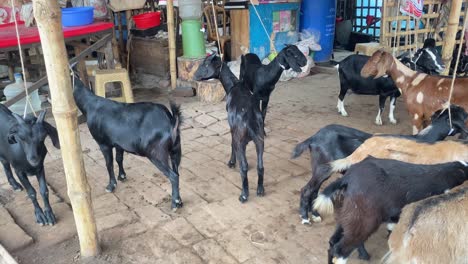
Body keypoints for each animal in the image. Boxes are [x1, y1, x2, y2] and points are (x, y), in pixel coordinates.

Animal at [72, 73, 184, 209]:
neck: (90, 105)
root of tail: (171, 120)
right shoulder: (119, 144)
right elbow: (119, 159)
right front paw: (122, 176)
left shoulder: (103, 143)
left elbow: (109, 163)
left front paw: (111, 185)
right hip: (176, 149)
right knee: (177, 171)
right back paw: (180, 201)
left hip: (157, 153)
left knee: (173, 176)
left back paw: (174, 203)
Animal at [194, 53, 266, 202]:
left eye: (205, 64)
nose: (194, 76)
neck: (233, 85)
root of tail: (250, 118)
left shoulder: (233, 130)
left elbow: (232, 143)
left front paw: (232, 162)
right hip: (260, 138)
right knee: (260, 166)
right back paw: (260, 190)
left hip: (240, 137)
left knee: (244, 166)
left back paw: (244, 195)